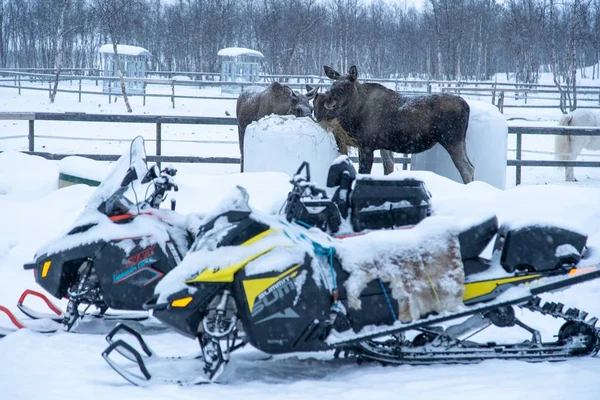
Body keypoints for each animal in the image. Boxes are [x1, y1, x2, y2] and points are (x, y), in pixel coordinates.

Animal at [314, 66, 474, 184]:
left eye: (346, 85)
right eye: (333, 83)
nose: (328, 102)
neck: (355, 111)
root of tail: (466, 105)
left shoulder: (366, 147)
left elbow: (364, 173)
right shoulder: (383, 146)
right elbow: (388, 168)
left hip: (452, 140)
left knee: (466, 168)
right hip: (460, 142)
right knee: (471, 166)